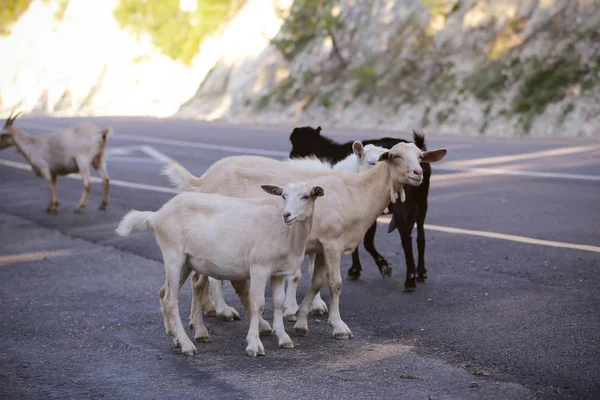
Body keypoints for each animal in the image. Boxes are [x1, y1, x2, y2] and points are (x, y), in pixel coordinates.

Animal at [116, 182, 324, 356]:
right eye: (283, 196)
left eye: (306, 196)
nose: (286, 215)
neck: (286, 232)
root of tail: (156, 216)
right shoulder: (259, 267)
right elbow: (258, 304)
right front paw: (254, 345)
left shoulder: (278, 272)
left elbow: (279, 303)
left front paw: (284, 338)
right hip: (173, 255)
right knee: (170, 300)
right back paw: (186, 345)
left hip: (186, 262)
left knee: (163, 292)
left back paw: (175, 338)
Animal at [162, 142, 448, 340]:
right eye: (396, 156)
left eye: (420, 156)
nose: (418, 173)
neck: (356, 191)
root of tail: (202, 180)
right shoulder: (332, 244)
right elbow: (335, 284)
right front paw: (338, 326)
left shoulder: (320, 247)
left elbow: (316, 281)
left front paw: (301, 320)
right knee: (205, 281)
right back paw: (207, 322)